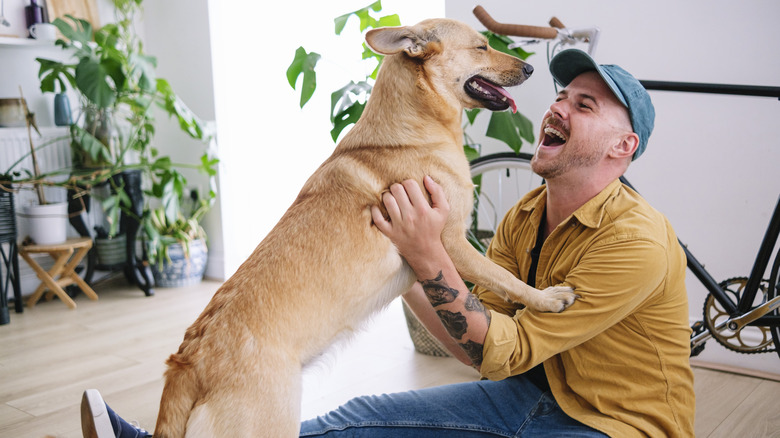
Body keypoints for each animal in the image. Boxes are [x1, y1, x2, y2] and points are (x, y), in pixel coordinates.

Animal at [155, 18, 576, 438]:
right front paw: (548, 299)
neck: (414, 129)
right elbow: (507, 279)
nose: (531, 69)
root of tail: (188, 364)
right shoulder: (452, 243)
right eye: (481, 46)